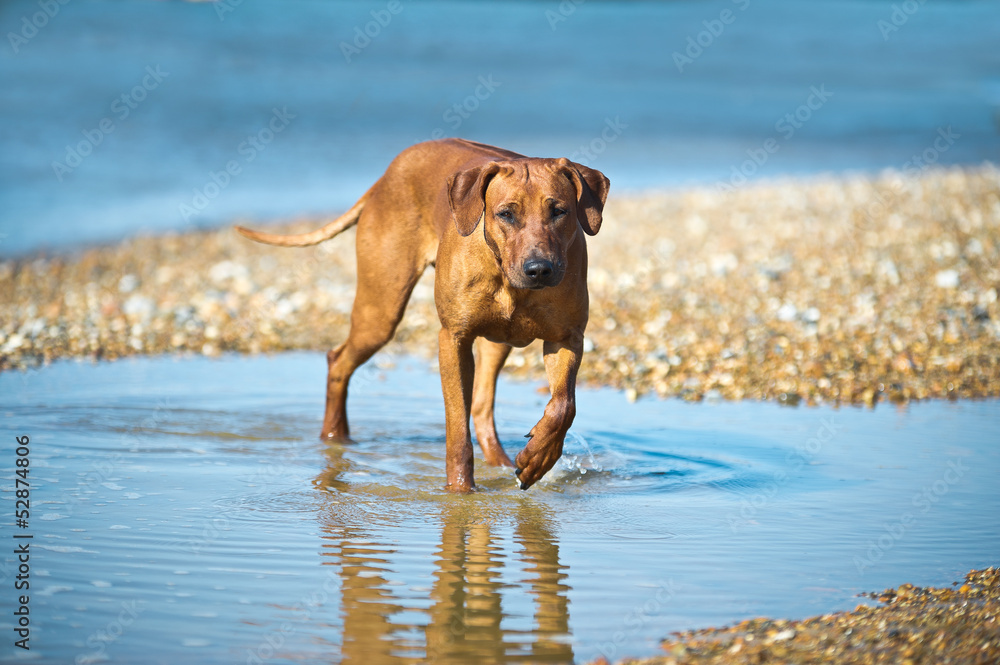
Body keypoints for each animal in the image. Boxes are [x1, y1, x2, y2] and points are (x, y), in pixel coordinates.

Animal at [235, 139, 608, 492]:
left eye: (559, 211)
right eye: (506, 214)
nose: (539, 270)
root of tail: (386, 175)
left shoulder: (567, 337)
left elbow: (563, 405)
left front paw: (539, 456)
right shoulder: (453, 338)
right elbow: (457, 428)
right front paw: (460, 490)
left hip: (496, 339)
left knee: (482, 405)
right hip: (381, 310)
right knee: (338, 360)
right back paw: (335, 438)